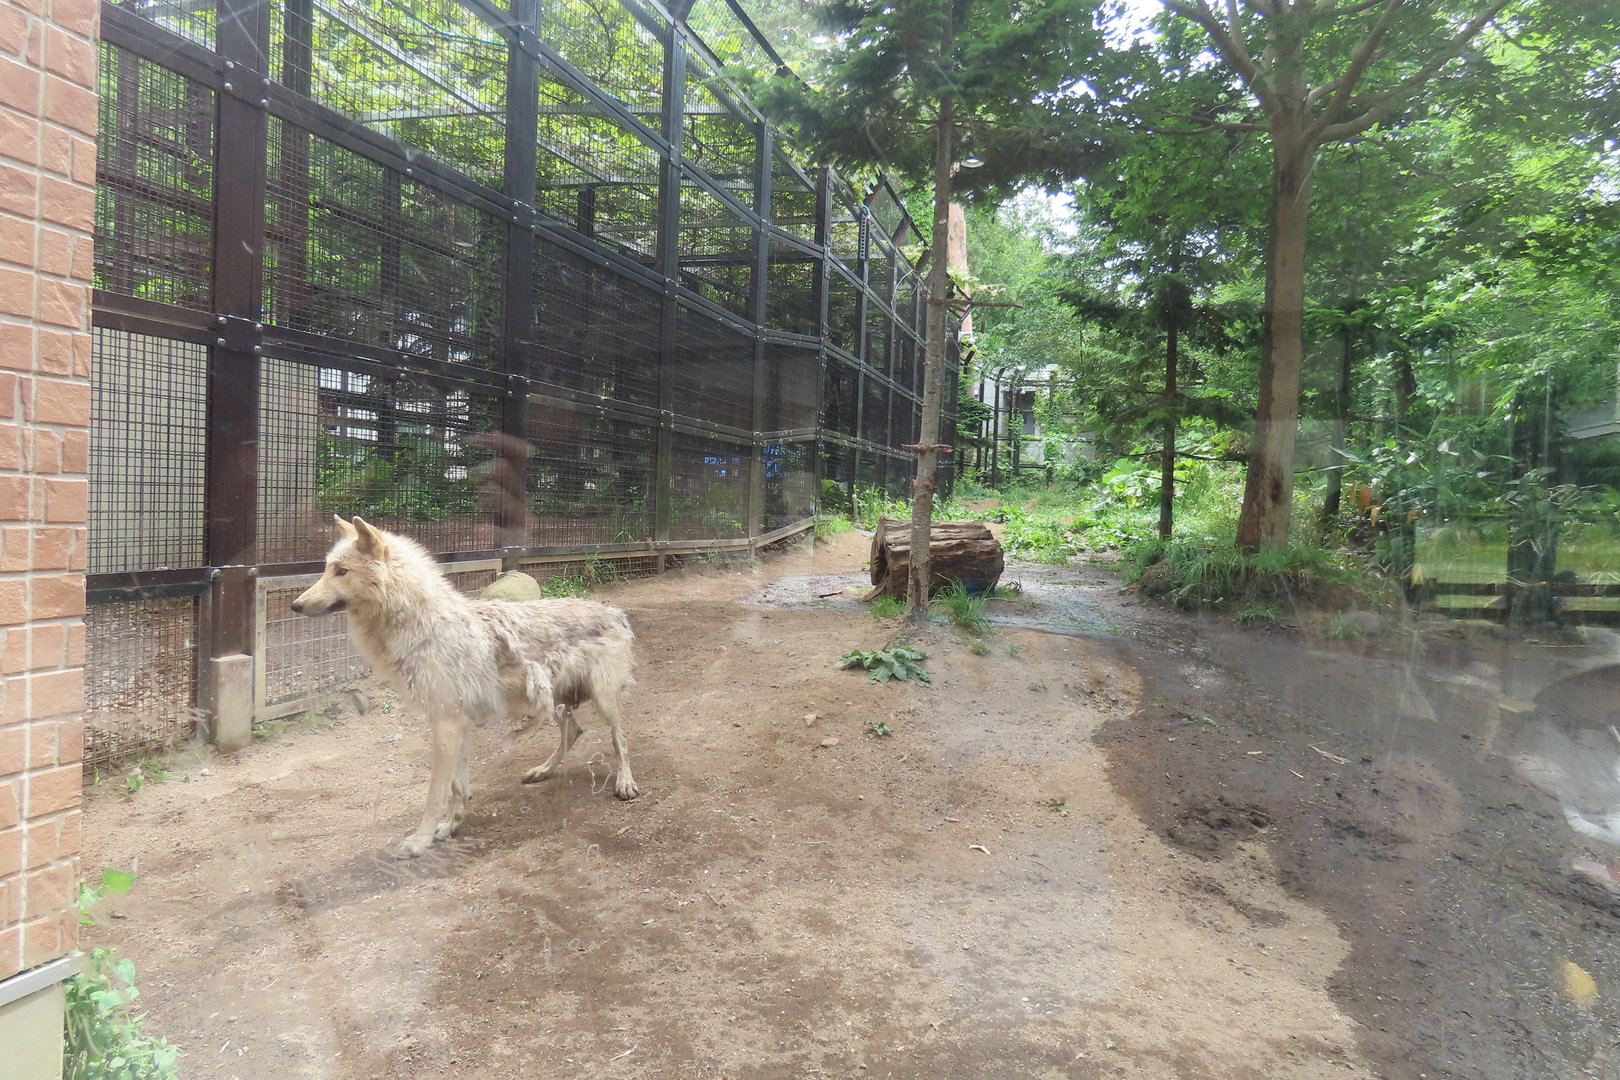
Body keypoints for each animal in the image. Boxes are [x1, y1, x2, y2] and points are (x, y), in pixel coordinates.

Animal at [292, 515, 639, 858]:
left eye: (341, 571)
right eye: (326, 569)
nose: (295, 605)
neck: (422, 628)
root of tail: (614, 611)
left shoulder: (447, 723)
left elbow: (435, 793)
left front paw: (419, 841)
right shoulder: (454, 724)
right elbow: (457, 786)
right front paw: (450, 826)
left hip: (603, 700)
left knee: (619, 739)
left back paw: (625, 784)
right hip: (551, 702)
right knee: (574, 731)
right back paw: (541, 771)